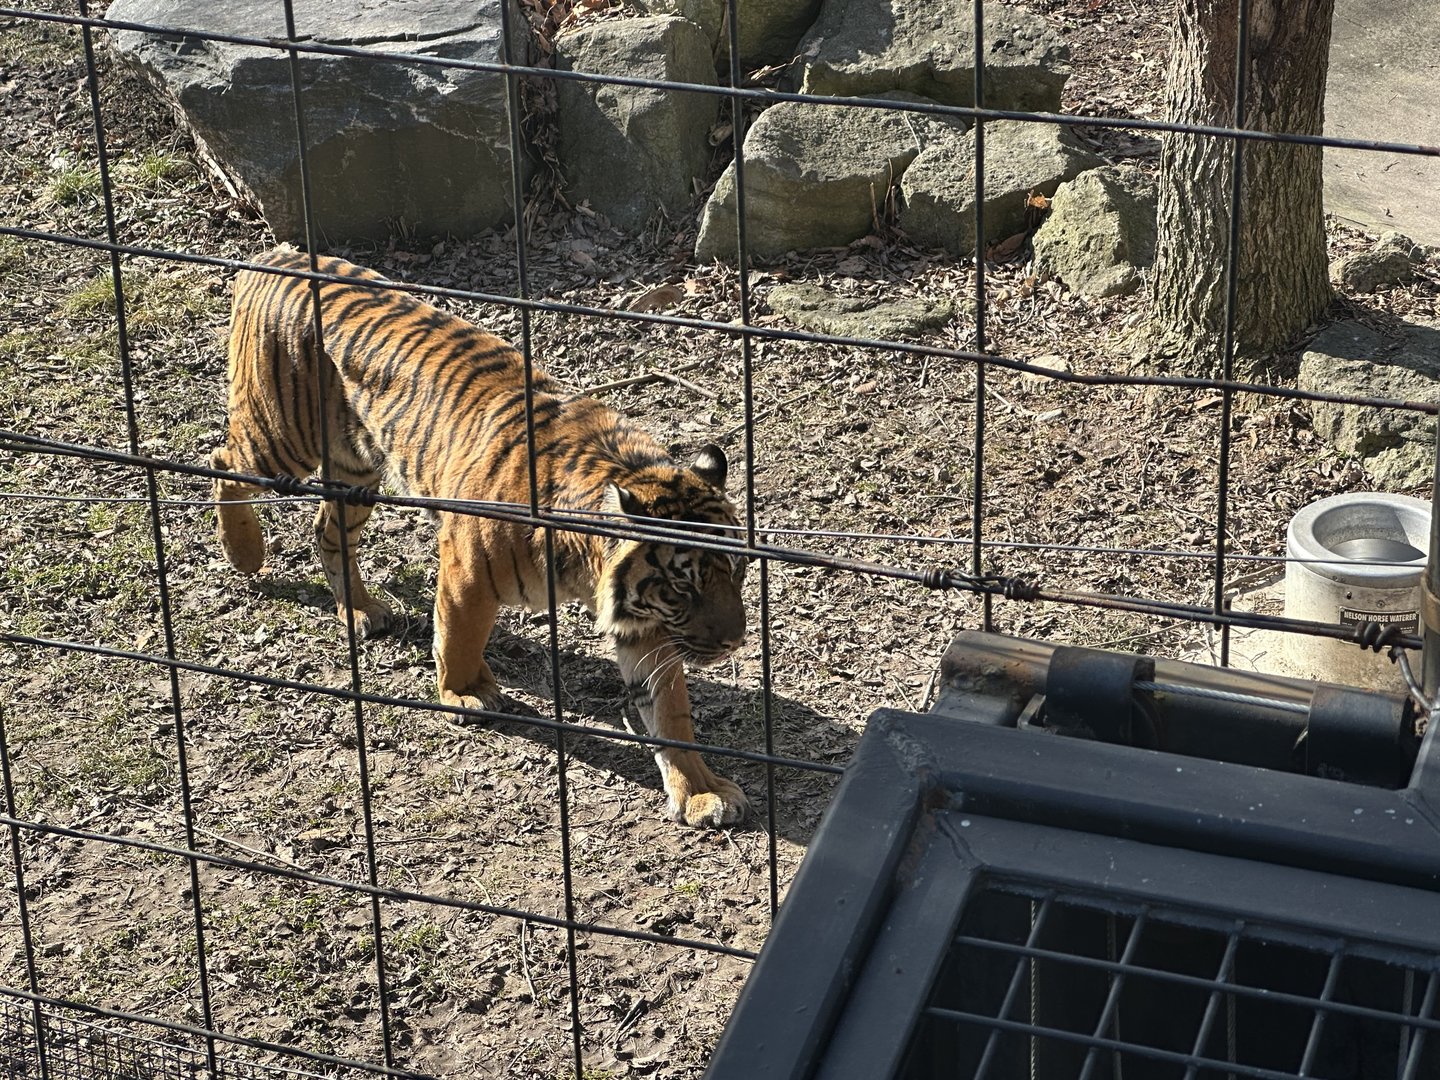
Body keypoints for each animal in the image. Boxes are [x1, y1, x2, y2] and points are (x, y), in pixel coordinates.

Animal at [210, 246, 749, 828]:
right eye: (685, 586)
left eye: (736, 574)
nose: (734, 641)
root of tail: (275, 255)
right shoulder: (467, 569)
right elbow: (460, 635)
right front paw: (465, 694)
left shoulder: (645, 625)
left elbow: (669, 711)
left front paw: (701, 791)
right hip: (283, 436)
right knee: (223, 462)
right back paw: (245, 554)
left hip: (356, 469)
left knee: (327, 532)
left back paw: (360, 609)